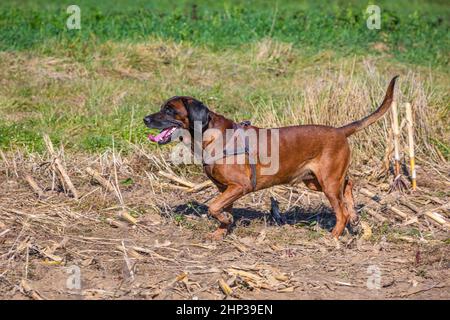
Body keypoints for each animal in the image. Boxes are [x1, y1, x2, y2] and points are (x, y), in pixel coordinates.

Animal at [144, 75, 398, 240]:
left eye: (169, 110)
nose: (145, 119)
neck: (209, 134)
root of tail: (340, 131)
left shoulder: (240, 186)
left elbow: (213, 207)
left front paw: (224, 223)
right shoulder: (225, 189)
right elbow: (222, 209)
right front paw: (222, 229)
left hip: (327, 182)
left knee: (341, 211)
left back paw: (334, 234)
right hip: (316, 180)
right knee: (349, 184)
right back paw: (354, 217)